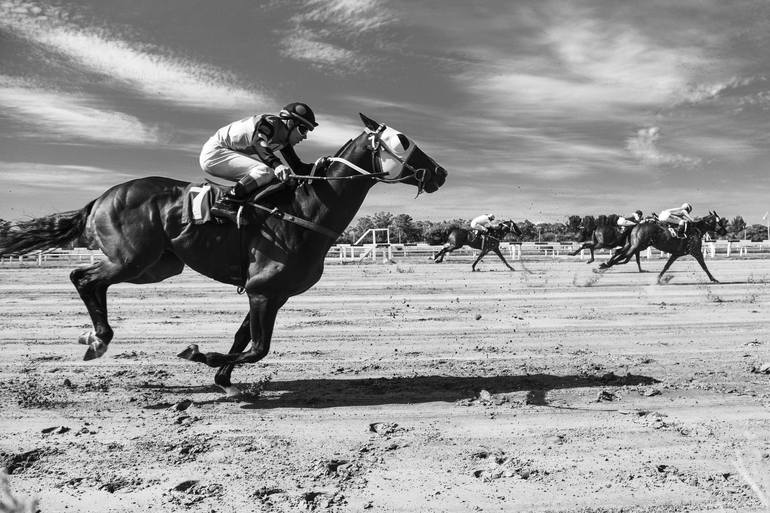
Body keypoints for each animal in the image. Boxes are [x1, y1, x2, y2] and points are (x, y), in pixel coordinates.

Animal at [0, 113, 448, 396]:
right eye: (403, 141)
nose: (441, 172)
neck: (306, 209)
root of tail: (101, 198)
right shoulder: (263, 289)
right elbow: (257, 347)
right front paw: (201, 356)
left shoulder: (270, 293)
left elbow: (243, 338)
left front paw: (224, 379)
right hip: (134, 259)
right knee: (83, 278)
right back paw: (98, 338)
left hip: (159, 266)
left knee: (90, 280)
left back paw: (95, 337)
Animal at [592, 212, 728, 284]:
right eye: (719, 221)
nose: (724, 231)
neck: (695, 229)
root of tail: (636, 225)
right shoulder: (696, 251)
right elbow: (704, 266)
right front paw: (713, 279)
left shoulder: (676, 254)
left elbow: (666, 266)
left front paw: (658, 279)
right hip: (638, 245)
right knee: (623, 256)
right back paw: (603, 265)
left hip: (635, 245)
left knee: (622, 254)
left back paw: (604, 265)